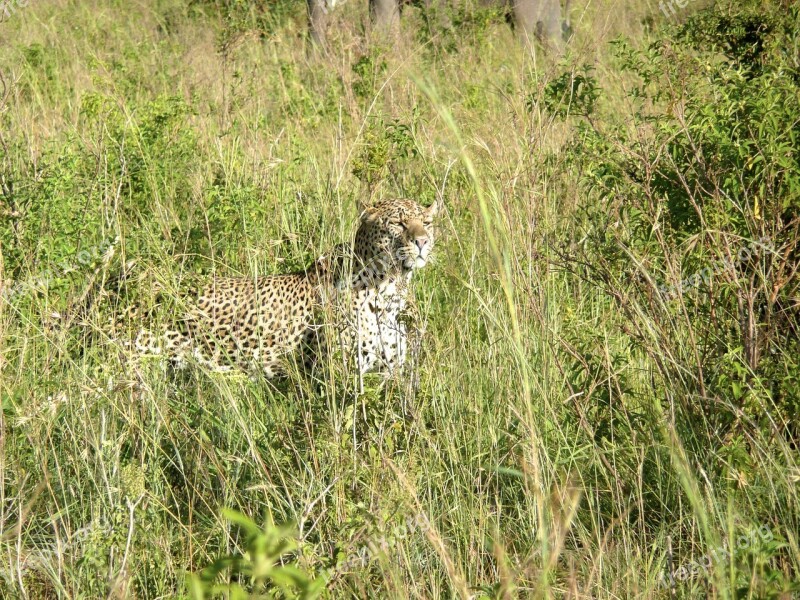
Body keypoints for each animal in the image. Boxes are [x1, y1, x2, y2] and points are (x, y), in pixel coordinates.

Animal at [134, 197, 440, 378]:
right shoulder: (340, 376)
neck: (390, 289)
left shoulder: (391, 373)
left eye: (426, 222)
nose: (422, 242)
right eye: (398, 223)